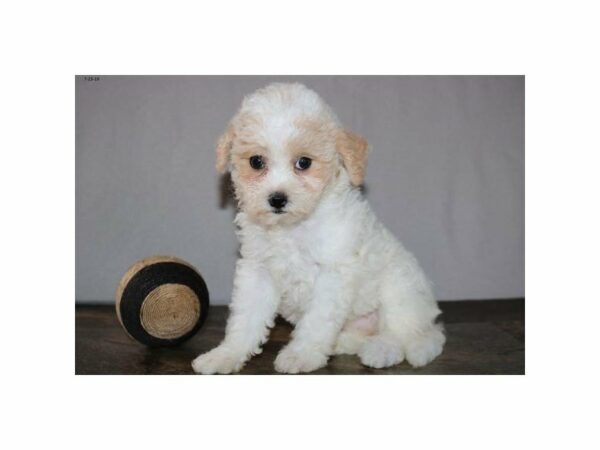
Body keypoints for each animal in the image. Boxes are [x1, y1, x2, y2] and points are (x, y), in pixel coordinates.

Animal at [192, 82, 446, 374]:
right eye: (256, 162)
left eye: (304, 162)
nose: (277, 199)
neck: (292, 228)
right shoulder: (258, 271)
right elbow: (245, 320)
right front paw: (225, 355)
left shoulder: (332, 274)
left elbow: (316, 322)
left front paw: (301, 355)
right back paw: (345, 343)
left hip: (400, 289)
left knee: (407, 335)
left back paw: (382, 350)